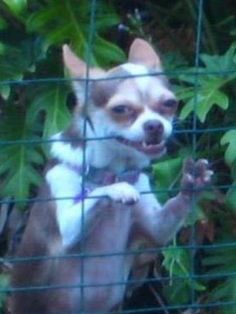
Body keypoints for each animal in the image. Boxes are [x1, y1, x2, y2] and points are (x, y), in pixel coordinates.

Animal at [10, 39, 212, 314]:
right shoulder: (66, 218)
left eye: (169, 103)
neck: (115, 168)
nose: (155, 125)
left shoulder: (155, 227)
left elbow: (166, 219)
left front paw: (192, 183)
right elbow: (95, 193)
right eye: (121, 110)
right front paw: (118, 190)